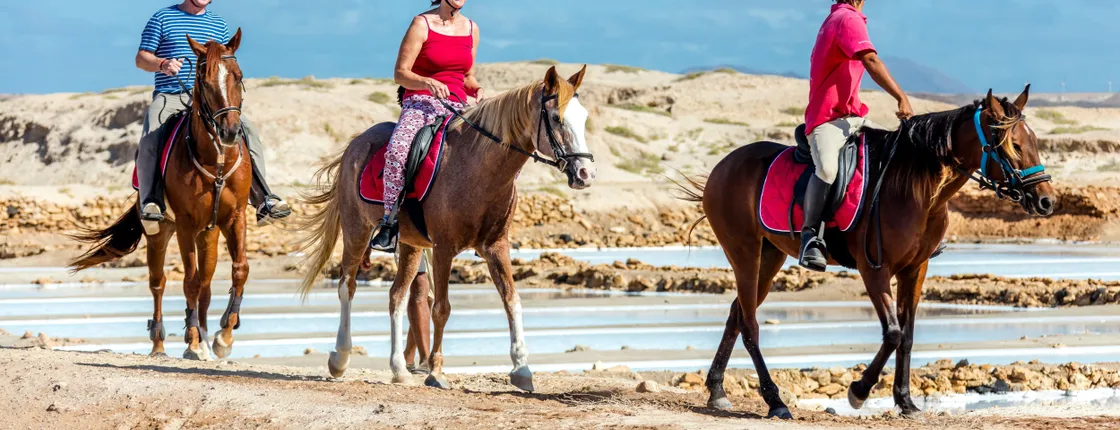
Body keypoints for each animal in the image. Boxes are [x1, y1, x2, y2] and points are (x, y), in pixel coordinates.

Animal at [70, 31, 253, 361]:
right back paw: (160, 344)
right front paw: (193, 341)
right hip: (160, 233)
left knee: (206, 284)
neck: (215, 162)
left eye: (239, 76)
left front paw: (223, 336)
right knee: (159, 283)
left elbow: (239, 270)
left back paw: (204, 336)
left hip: (208, 234)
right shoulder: (185, 225)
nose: (229, 132)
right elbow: (188, 282)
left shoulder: (235, 218)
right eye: (204, 80)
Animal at [298, 66, 595, 391]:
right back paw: (340, 358)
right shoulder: (443, 249)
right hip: (357, 230)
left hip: (410, 245)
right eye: (556, 118)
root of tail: (356, 142)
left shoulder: (496, 246)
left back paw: (399, 369)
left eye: (584, 118)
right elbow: (441, 308)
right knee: (347, 287)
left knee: (397, 296)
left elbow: (512, 301)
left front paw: (522, 369)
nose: (586, 173)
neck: (479, 169)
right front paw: (436, 371)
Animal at [679, 87, 1055, 418]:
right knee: (750, 324)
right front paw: (859, 391)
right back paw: (775, 401)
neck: (916, 189)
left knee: (737, 314)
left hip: (769, 256)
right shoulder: (874, 269)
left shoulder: (915, 269)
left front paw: (906, 402)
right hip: (744, 252)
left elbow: (907, 335)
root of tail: (723, 166)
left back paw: (717, 390)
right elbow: (893, 332)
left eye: (1034, 142)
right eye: (1014, 145)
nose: (1046, 201)